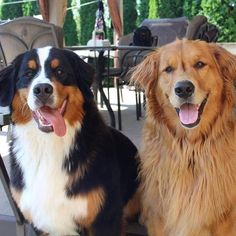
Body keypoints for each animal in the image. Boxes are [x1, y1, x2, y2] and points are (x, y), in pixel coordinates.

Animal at [131, 39, 236, 236]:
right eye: (168, 69)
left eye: (200, 64)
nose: (184, 89)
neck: (189, 148)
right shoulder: (159, 216)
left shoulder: (224, 220)